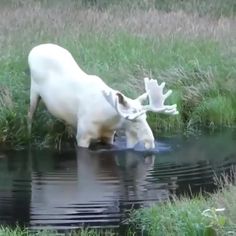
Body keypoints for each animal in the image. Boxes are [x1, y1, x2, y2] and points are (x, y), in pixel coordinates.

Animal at [27, 43, 178, 149]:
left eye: (146, 117)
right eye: (133, 120)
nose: (150, 142)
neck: (108, 120)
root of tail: (33, 50)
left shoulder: (109, 136)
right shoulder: (83, 136)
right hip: (33, 91)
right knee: (30, 115)